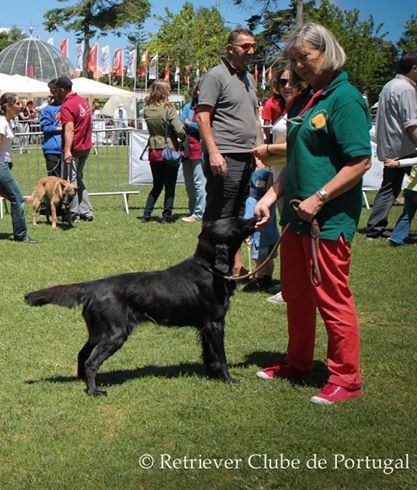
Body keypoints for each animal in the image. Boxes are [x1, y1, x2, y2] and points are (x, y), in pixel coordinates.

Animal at [25, 216, 256, 396]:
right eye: (237, 223)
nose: (255, 217)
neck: (208, 269)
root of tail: (93, 286)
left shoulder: (204, 326)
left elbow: (210, 355)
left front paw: (212, 375)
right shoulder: (216, 323)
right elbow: (221, 356)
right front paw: (229, 380)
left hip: (98, 332)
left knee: (82, 355)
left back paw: (83, 381)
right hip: (115, 334)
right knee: (91, 362)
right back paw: (94, 391)